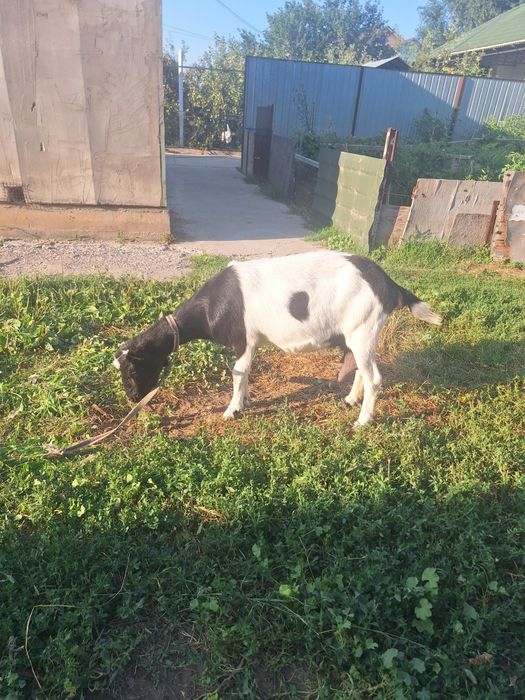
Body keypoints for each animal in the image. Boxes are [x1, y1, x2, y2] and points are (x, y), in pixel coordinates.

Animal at [113, 250, 442, 426]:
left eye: (132, 368)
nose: (133, 398)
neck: (213, 304)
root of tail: (388, 284)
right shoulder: (252, 342)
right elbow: (245, 374)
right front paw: (244, 401)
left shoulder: (243, 339)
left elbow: (238, 372)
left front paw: (231, 410)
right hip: (358, 335)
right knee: (363, 369)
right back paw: (351, 399)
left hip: (363, 329)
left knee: (374, 377)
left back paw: (362, 421)